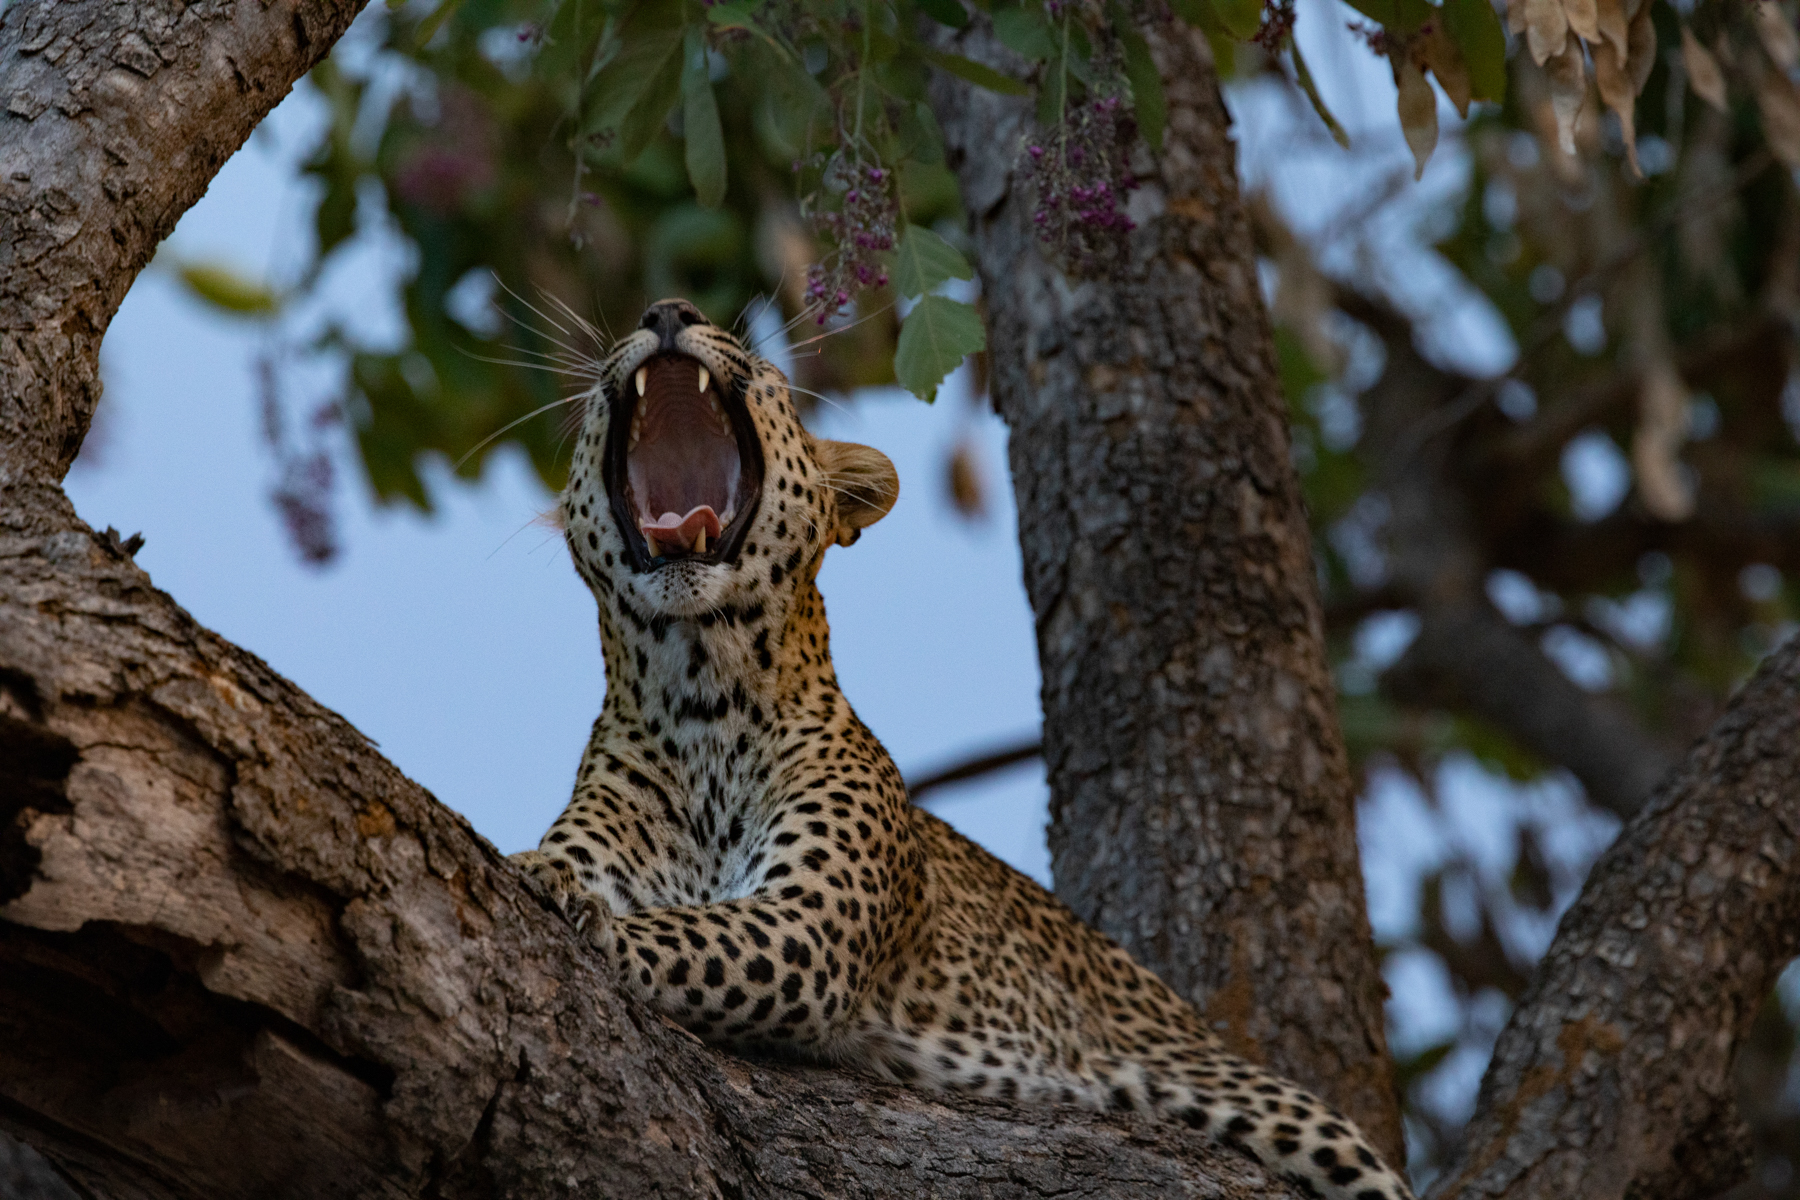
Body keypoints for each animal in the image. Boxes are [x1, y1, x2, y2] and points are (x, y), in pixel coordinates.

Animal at [512, 297, 1414, 1200]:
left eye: (768, 374)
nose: (668, 311)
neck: (699, 695)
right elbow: (592, 877)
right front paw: (539, 874)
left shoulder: (805, 931)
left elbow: (684, 934)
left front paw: (584, 915)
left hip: (1291, 1114)